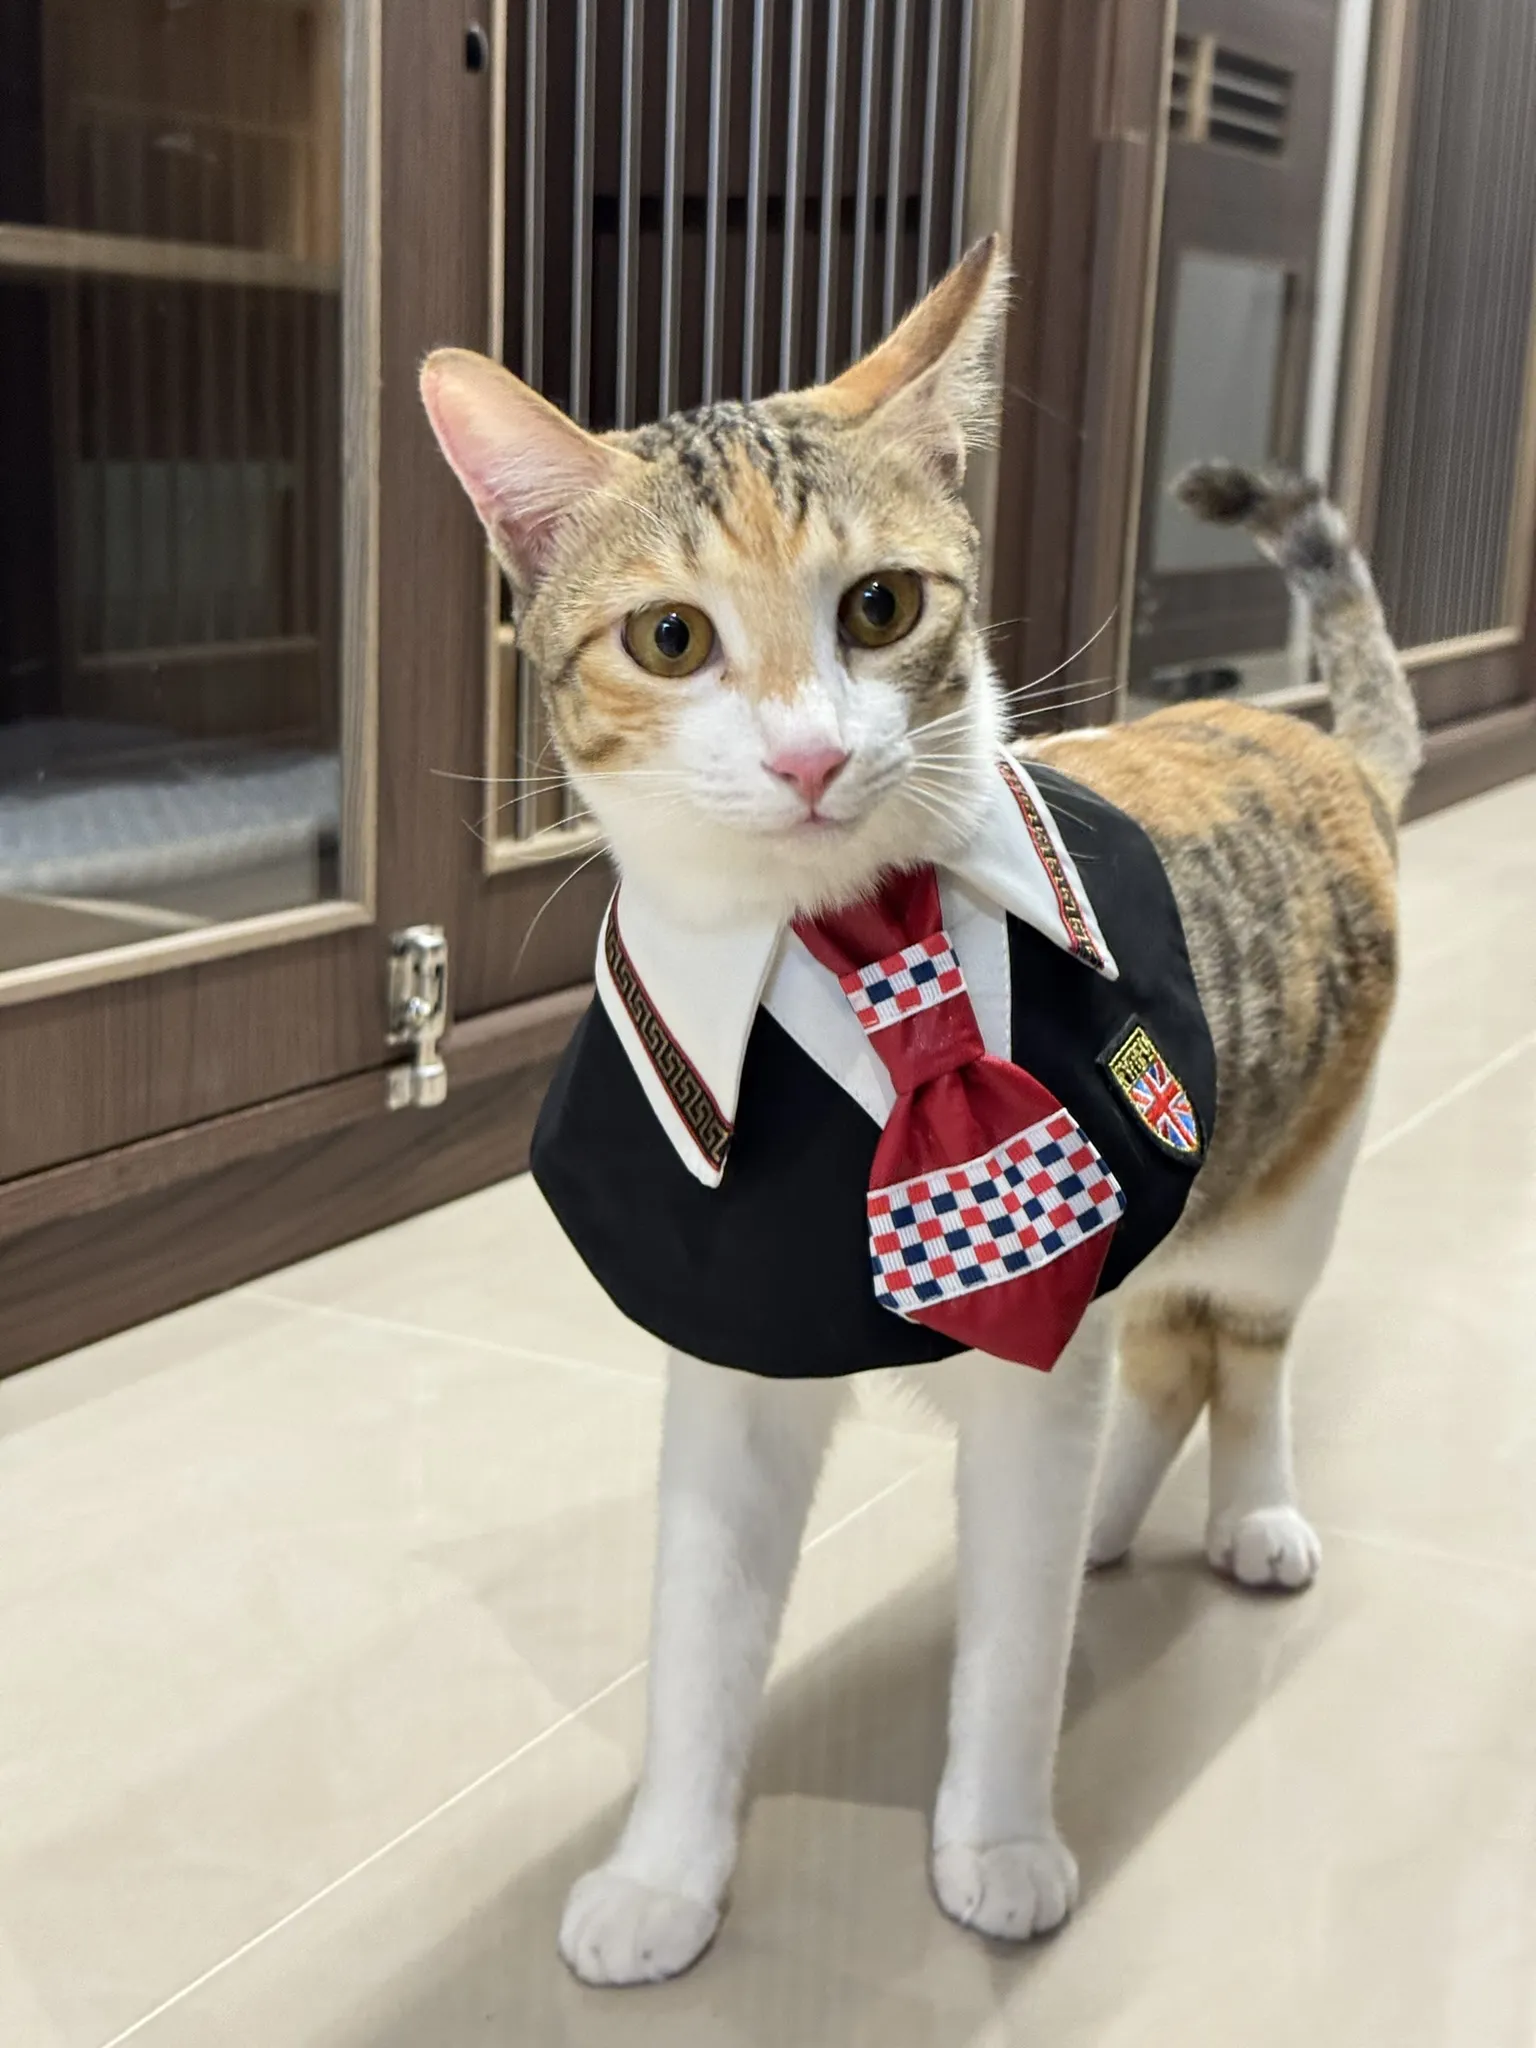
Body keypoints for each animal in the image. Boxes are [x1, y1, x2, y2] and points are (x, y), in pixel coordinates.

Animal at [419, 236, 1419, 1987]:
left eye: (880, 606)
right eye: (668, 639)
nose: (812, 757)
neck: (860, 946)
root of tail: (1306, 734)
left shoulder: (1037, 1379)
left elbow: (1014, 1648)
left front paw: (1000, 1844)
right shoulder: (731, 1363)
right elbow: (700, 1641)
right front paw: (667, 1879)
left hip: (1293, 1185)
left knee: (1241, 1351)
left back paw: (1253, 1511)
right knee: (1159, 1362)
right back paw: (1117, 1521)